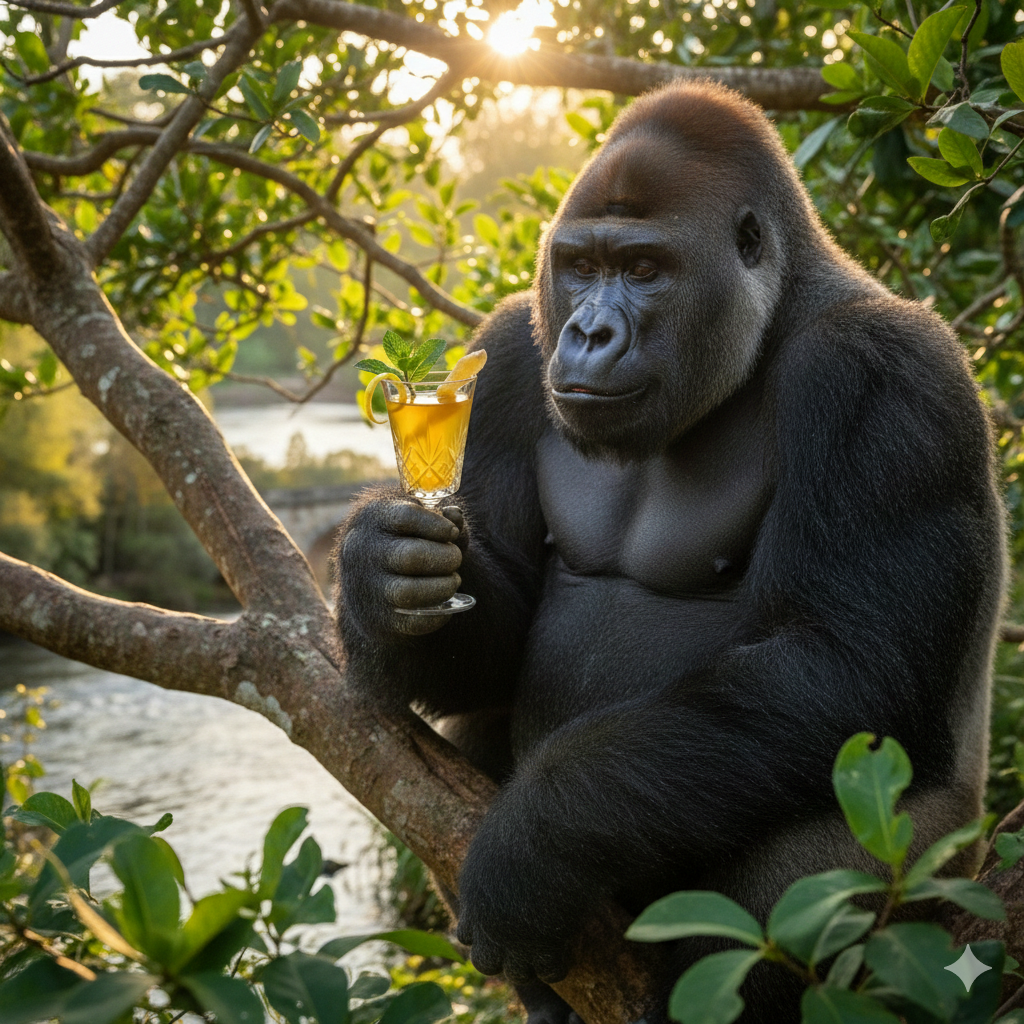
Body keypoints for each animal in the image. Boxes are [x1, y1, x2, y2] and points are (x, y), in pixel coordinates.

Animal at [334, 79, 1006, 1022]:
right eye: (580, 267)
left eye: (645, 270)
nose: (587, 334)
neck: (773, 315)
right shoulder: (503, 355)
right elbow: (498, 638)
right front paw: (383, 582)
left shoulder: (886, 378)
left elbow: (845, 663)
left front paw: (535, 845)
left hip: (940, 885)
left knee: (816, 861)